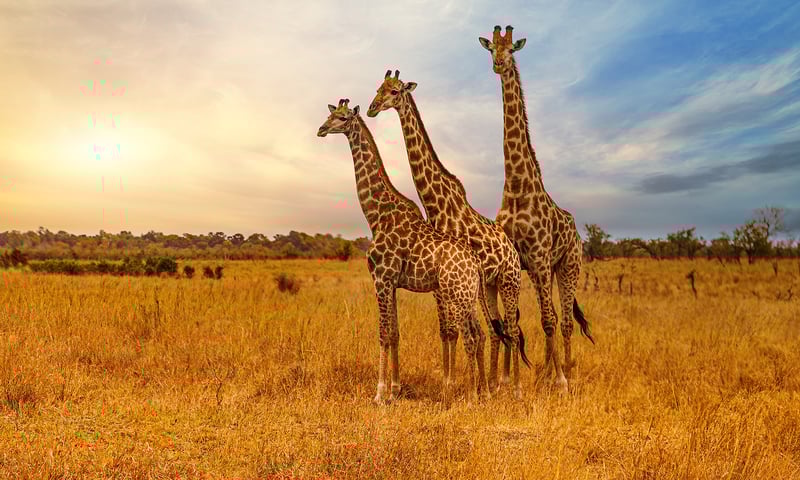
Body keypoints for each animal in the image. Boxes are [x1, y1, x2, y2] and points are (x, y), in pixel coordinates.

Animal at [317, 98, 508, 403]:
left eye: (343, 118)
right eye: (331, 114)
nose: (321, 129)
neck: (376, 216)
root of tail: (475, 263)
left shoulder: (381, 278)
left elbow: (383, 333)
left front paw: (379, 394)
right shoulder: (392, 283)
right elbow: (395, 333)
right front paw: (395, 389)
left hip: (458, 295)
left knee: (472, 335)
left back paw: (473, 395)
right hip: (468, 294)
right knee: (480, 333)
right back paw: (483, 393)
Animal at [367, 71, 529, 399]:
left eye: (394, 91)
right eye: (378, 88)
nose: (372, 107)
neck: (437, 204)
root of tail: (512, 249)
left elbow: (458, 331)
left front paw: (461, 387)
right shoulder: (439, 283)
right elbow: (447, 330)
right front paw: (451, 382)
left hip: (509, 281)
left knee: (510, 327)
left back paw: (513, 387)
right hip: (489, 286)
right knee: (498, 329)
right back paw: (496, 382)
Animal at [479, 25, 596, 391]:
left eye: (512, 50)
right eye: (491, 49)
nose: (498, 65)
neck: (517, 186)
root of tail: (576, 232)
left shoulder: (540, 256)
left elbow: (546, 320)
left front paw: (559, 380)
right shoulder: (516, 259)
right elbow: (511, 320)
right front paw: (505, 379)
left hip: (568, 265)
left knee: (564, 320)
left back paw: (566, 371)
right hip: (547, 269)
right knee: (555, 316)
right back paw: (546, 370)